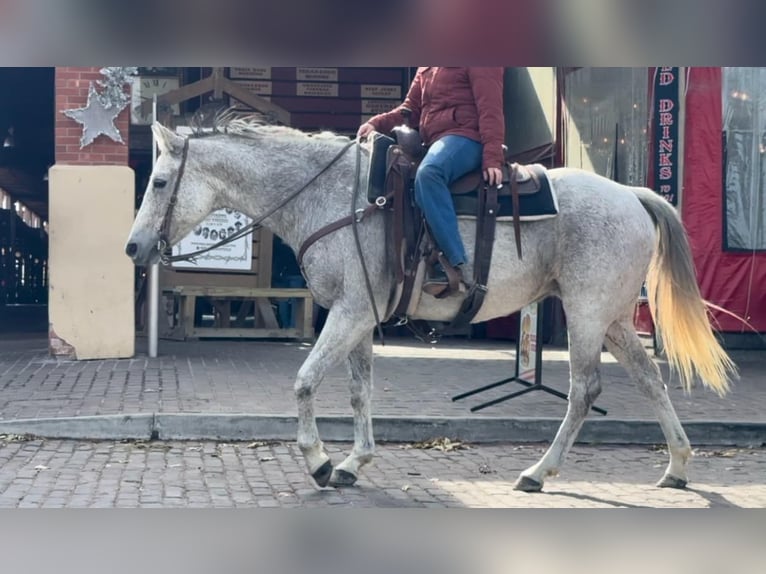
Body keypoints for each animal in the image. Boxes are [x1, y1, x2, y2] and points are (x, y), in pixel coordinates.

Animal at [125, 116, 737, 493]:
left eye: (159, 181)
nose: (132, 247)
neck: (334, 197)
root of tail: (630, 194)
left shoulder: (349, 313)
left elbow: (304, 381)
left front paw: (319, 462)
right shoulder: (359, 316)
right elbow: (359, 390)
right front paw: (353, 462)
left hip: (586, 315)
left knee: (584, 391)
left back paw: (539, 472)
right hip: (611, 319)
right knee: (650, 381)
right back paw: (678, 466)